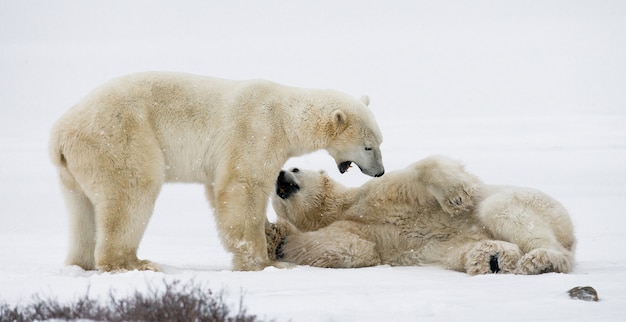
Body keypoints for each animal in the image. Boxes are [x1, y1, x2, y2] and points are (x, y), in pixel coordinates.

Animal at [48, 71, 382, 272]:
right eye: (368, 147)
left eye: (380, 141)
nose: (379, 172)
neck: (286, 116)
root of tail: (60, 135)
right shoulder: (257, 130)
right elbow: (243, 187)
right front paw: (265, 262)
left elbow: (219, 189)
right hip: (118, 138)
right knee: (132, 192)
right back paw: (135, 262)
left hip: (75, 168)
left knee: (81, 211)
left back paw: (80, 263)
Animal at [266, 156, 572, 274]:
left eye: (294, 168)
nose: (279, 176)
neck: (342, 207)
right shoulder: (351, 227)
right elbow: (352, 249)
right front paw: (275, 237)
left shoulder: (377, 192)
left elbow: (422, 170)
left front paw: (456, 195)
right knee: (467, 251)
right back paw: (492, 258)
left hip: (537, 203)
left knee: (500, 210)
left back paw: (540, 260)